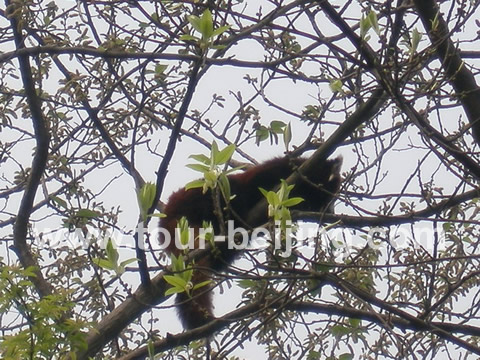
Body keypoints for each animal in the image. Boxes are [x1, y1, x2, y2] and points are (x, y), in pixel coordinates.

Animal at [161, 155, 342, 330]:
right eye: (326, 197)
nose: (330, 212)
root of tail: (168, 214)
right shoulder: (277, 171)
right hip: (202, 195)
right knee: (231, 195)